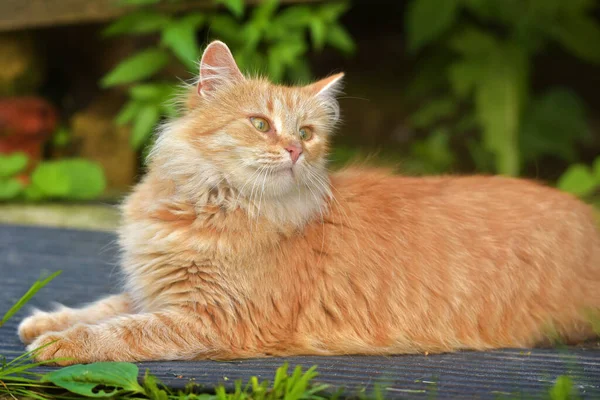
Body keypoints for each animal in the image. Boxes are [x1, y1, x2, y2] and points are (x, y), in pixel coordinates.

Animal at [19, 41, 600, 366]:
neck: (210, 205)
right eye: (260, 124)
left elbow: (126, 329)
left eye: (306, 132)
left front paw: (64, 344)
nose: (295, 150)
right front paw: (46, 322)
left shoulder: (213, 318)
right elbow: (108, 305)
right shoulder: (158, 290)